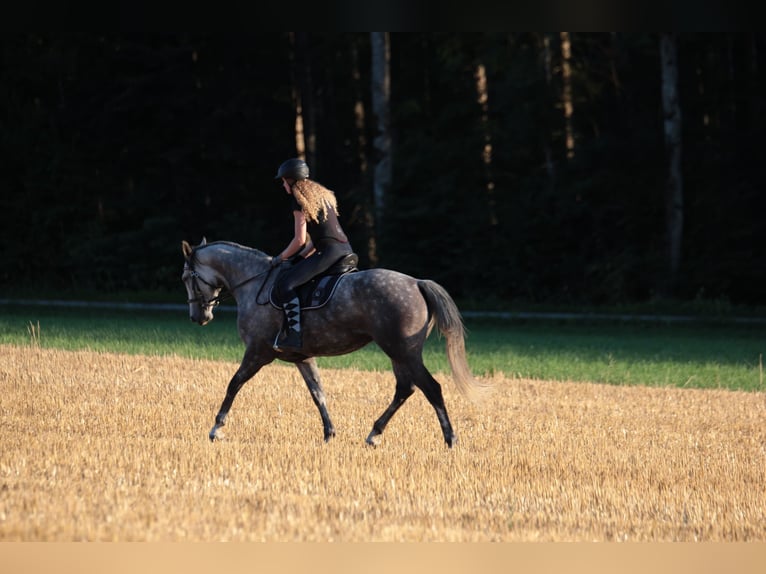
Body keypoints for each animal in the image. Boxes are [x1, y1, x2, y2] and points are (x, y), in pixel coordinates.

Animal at [182, 238, 486, 450]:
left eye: (187, 278)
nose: (198, 317)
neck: (253, 282)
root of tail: (417, 283)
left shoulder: (258, 352)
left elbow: (234, 384)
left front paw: (216, 428)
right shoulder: (302, 357)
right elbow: (318, 393)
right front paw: (329, 433)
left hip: (403, 351)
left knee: (430, 388)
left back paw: (450, 439)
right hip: (398, 353)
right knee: (405, 388)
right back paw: (374, 434)